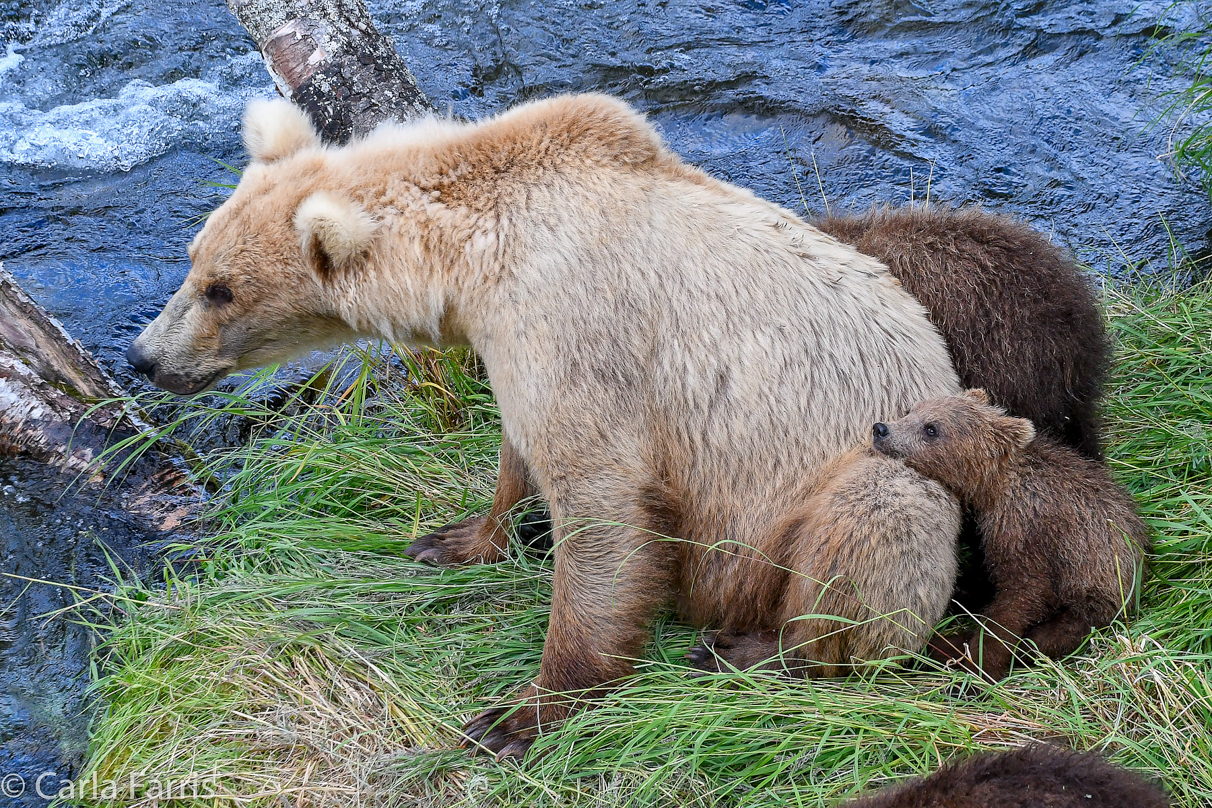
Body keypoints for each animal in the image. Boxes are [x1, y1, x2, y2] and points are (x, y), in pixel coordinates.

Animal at [127, 95, 959, 760]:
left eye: (221, 289)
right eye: (194, 259)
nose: (144, 356)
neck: (472, 255)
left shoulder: (577, 326)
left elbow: (601, 509)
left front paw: (516, 716)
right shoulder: (512, 339)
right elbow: (517, 452)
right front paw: (455, 539)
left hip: (877, 475)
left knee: (874, 528)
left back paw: (750, 650)